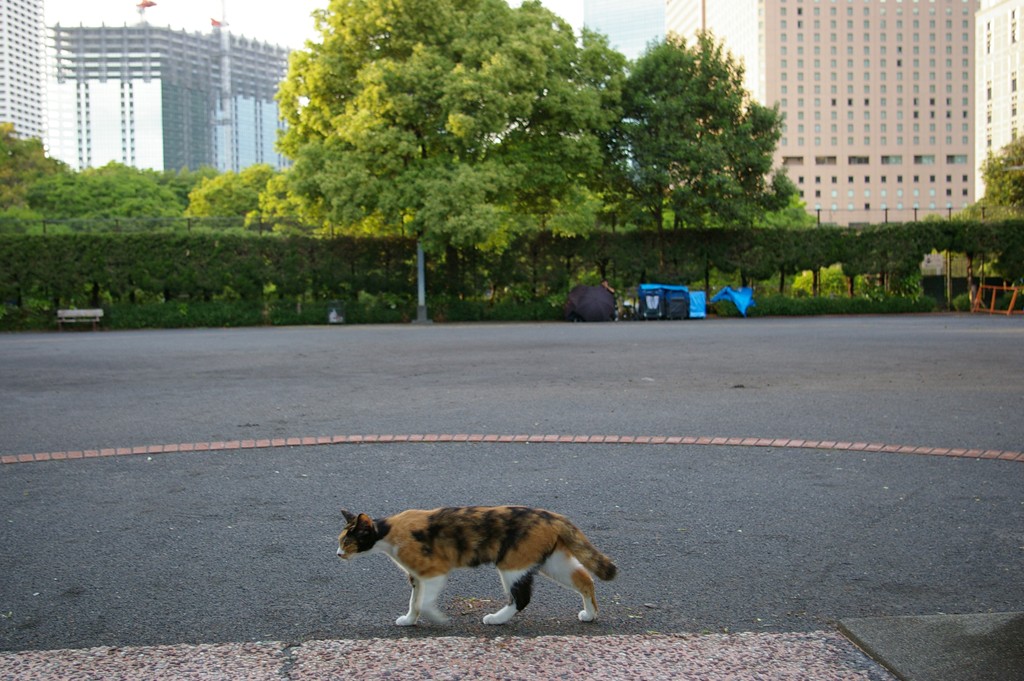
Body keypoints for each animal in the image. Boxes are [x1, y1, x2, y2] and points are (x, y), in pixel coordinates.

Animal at [337, 501, 614, 622]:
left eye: (347, 542)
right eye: (340, 541)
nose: (338, 554)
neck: (389, 531)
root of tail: (553, 516)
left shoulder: (435, 572)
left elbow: (424, 603)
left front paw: (436, 619)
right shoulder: (416, 577)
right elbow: (414, 602)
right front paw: (409, 620)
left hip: (512, 565)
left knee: (521, 598)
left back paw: (496, 618)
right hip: (554, 563)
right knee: (585, 580)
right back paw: (590, 614)